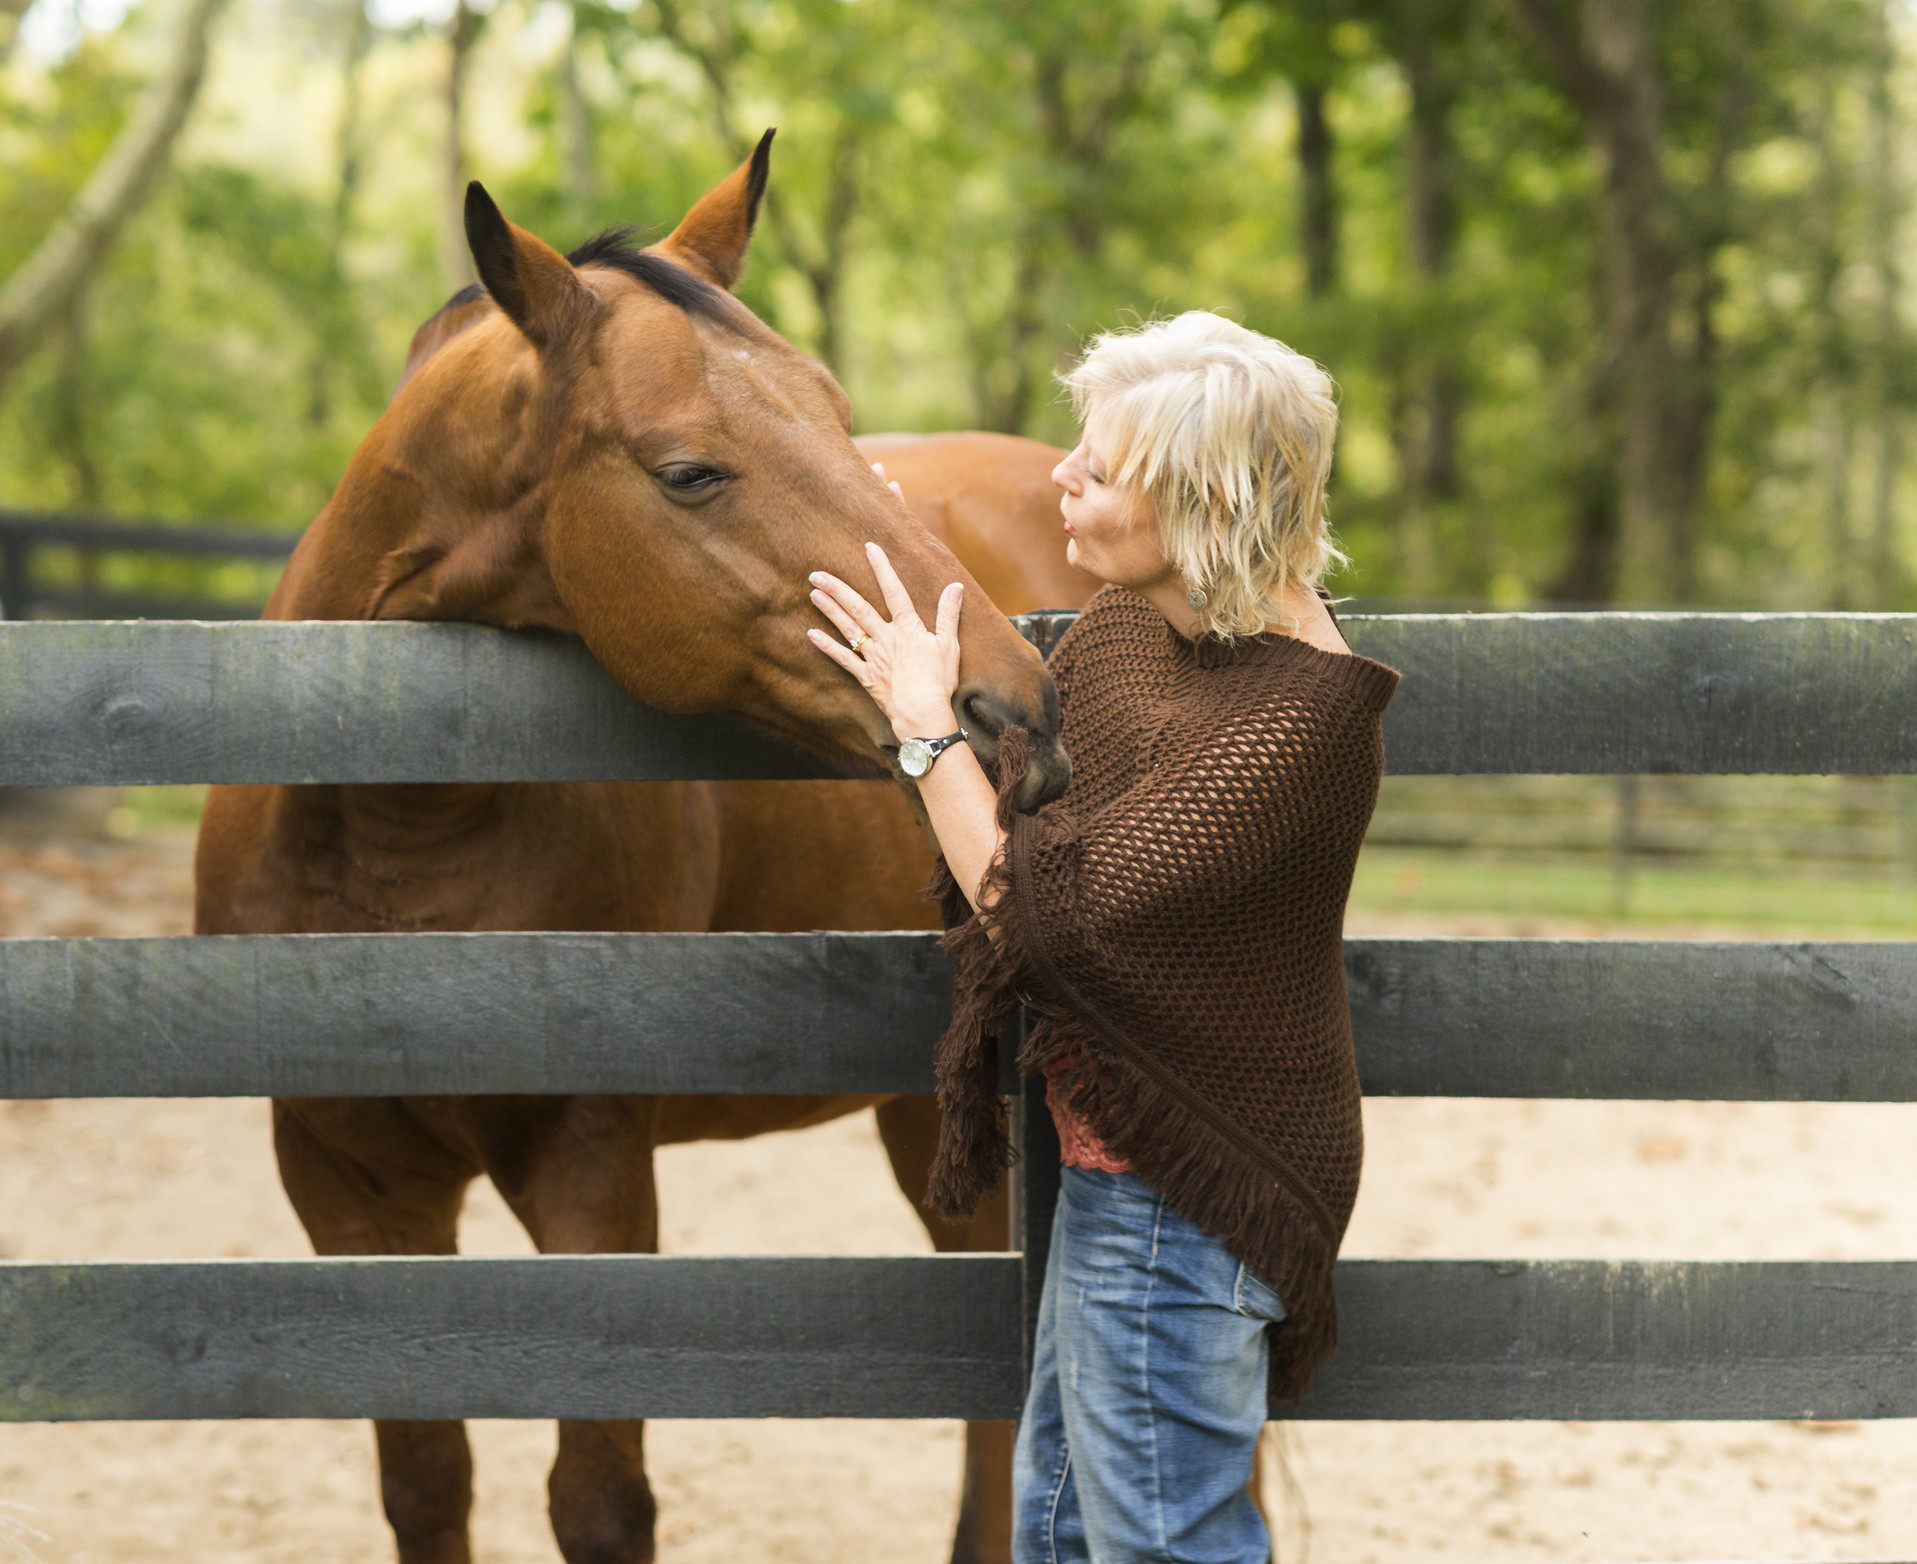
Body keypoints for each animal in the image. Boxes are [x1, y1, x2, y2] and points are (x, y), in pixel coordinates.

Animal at [193, 134, 1090, 1564]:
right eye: (689, 471)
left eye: (840, 417)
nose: (1016, 714)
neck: (394, 834)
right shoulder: (349, 1179)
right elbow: (426, 1479)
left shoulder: (592, 1166)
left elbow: (600, 1499)